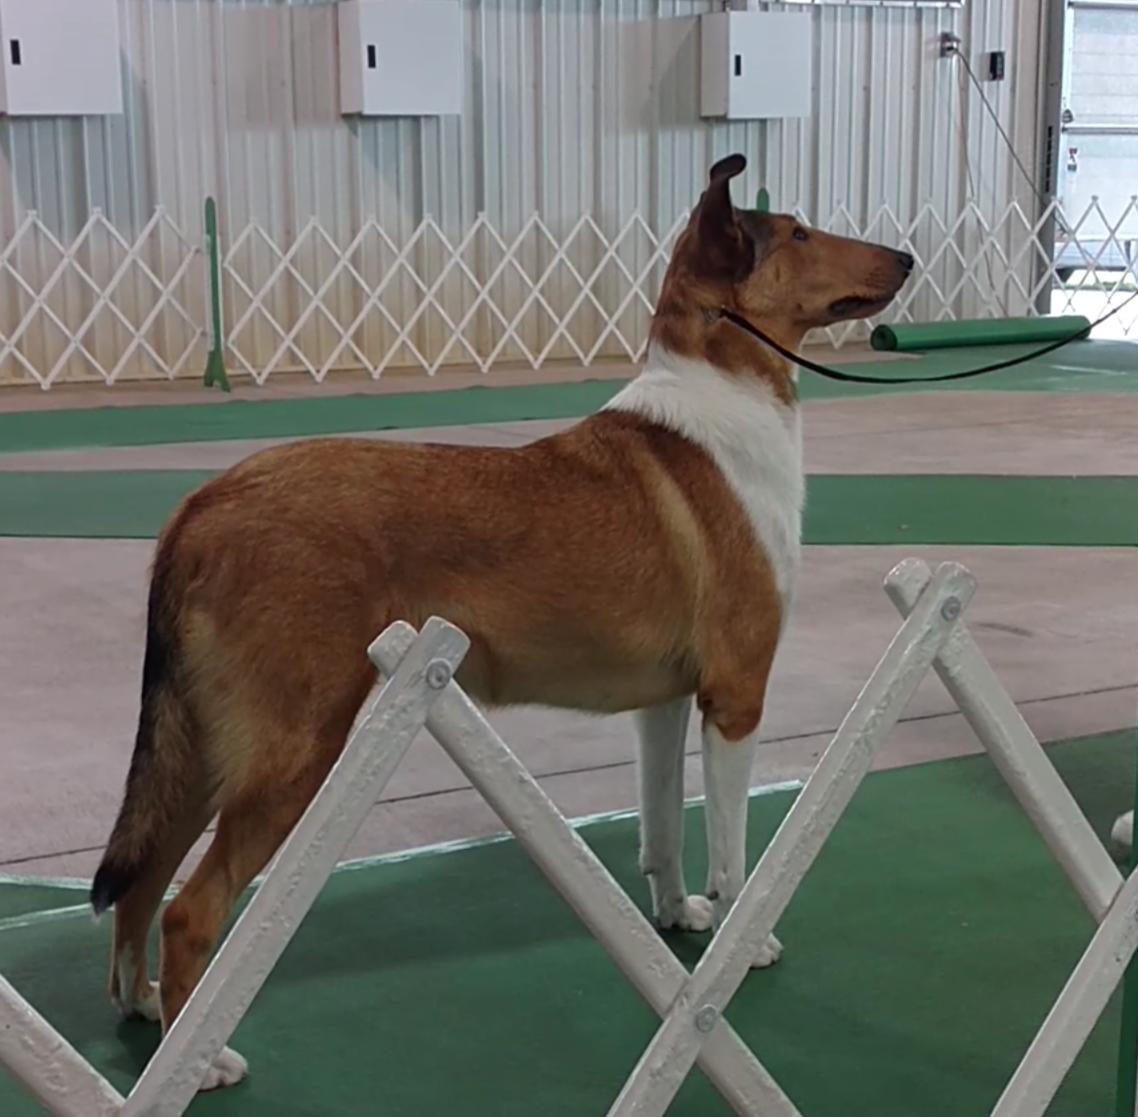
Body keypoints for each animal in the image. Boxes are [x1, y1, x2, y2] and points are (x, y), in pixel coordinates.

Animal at [90, 152, 913, 1090]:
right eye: (801, 233)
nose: (905, 258)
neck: (725, 398)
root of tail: (199, 505)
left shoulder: (665, 702)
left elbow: (664, 827)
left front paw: (676, 918)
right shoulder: (737, 695)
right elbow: (734, 849)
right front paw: (747, 944)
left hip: (202, 746)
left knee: (143, 880)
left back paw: (144, 1005)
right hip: (290, 748)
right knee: (190, 908)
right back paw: (197, 1059)